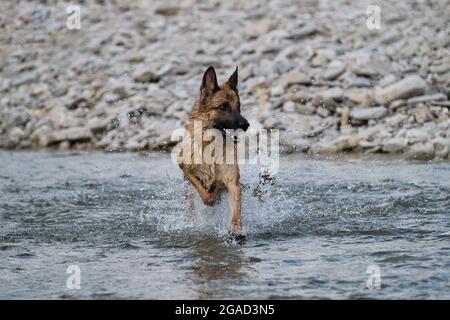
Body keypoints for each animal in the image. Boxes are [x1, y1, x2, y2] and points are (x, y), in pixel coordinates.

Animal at [178, 65, 250, 240]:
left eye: (239, 107)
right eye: (223, 106)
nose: (246, 124)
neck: (211, 144)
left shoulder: (233, 183)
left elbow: (236, 210)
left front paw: (236, 230)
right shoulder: (184, 165)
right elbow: (202, 191)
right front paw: (210, 196)